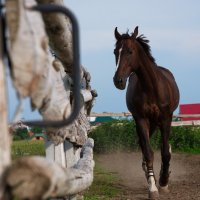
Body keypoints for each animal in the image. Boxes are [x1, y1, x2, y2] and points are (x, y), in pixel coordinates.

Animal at [113, 26, 180, 198]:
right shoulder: (141, 119)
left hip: (158, 123)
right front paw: (153, 187)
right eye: (115, 51)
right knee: (144, 146)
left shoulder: (166, 119)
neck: (151, 88)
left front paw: (163, 182)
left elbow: (165, 152)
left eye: (130, 51)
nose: (118, 81)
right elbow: (149, 152)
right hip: (148, 123)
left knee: (163, 148)